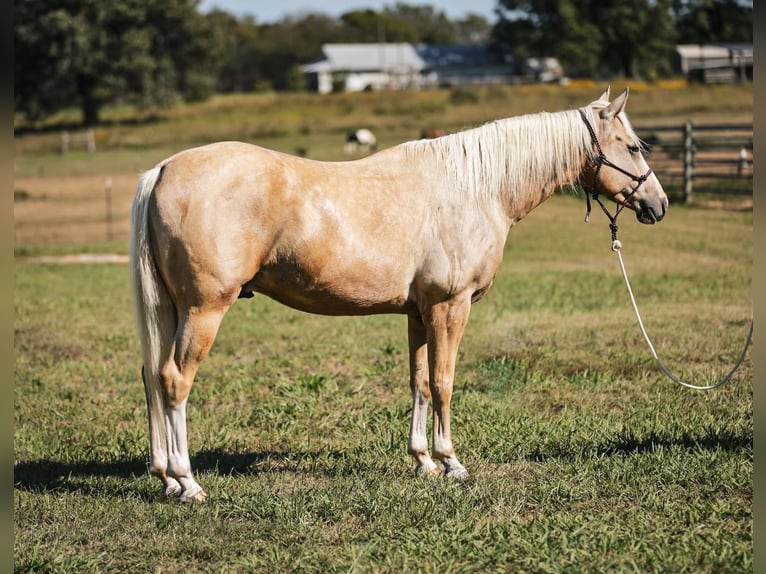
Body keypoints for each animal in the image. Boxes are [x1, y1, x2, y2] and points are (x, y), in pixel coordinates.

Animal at [130, 87, 667, 502]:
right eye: (633, 146)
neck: (477, 188)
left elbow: (421, 383)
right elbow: (446, 382)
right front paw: (452, 463)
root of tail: (162, 169)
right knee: (175, 380)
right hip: (204, 309)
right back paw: (187, 482)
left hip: (174, 310)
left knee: (152, 375)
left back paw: (165, 478)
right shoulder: (450, 306)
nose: (658, 204)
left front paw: (423, 461)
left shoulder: (419, 312)